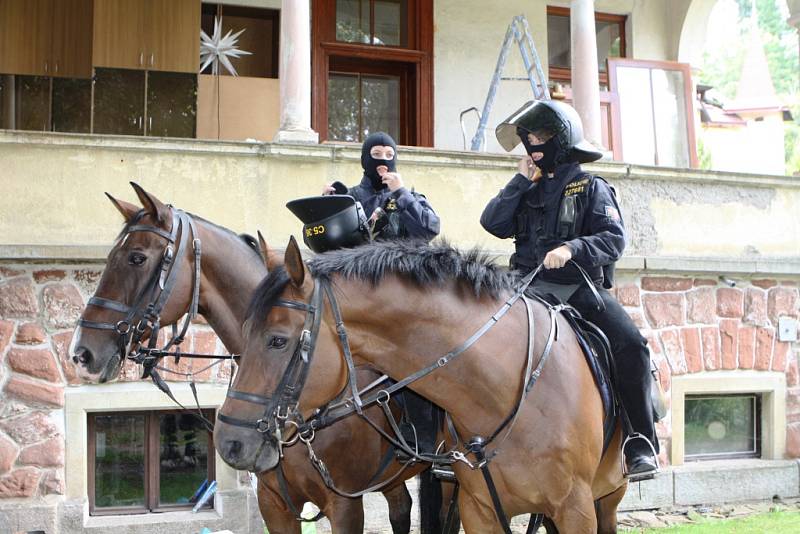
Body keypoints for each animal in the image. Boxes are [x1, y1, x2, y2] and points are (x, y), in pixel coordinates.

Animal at [220, 240, 632, 534]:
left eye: (277, 340)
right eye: (245, 331)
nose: (230, 442)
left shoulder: (575, 510)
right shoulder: (479, 510)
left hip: (607, 497)